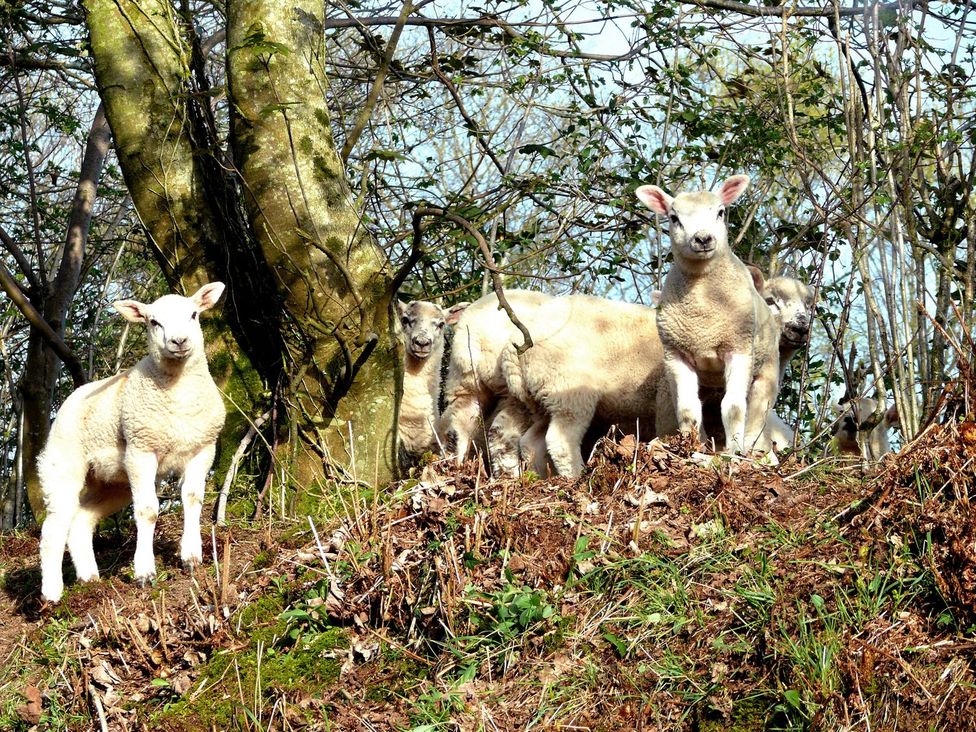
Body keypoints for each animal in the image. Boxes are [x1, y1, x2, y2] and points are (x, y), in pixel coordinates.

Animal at [38, 283, 227, 603]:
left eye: (193, 314)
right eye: (154, 322)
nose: (179, 341)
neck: (180, 394)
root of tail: (71, 400)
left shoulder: (202, 448)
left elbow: (192, 498)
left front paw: (191, 557)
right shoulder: (142, 450)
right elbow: (148, 511)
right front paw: (144, 573)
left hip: (114, 481)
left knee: (80, 522)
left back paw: (90, 580)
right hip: (63, 464)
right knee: (53, 528)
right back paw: (52, 593)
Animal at [637, 175, 782, 452]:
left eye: (720, 212)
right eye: (674, 217)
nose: (703, 239)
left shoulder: (739, 349)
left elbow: (734, 408)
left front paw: (734, 451)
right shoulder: (677, 353)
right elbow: (688, 409)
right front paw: (690, 447)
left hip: (766, 370)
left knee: (758, 412)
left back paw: (752, 449)